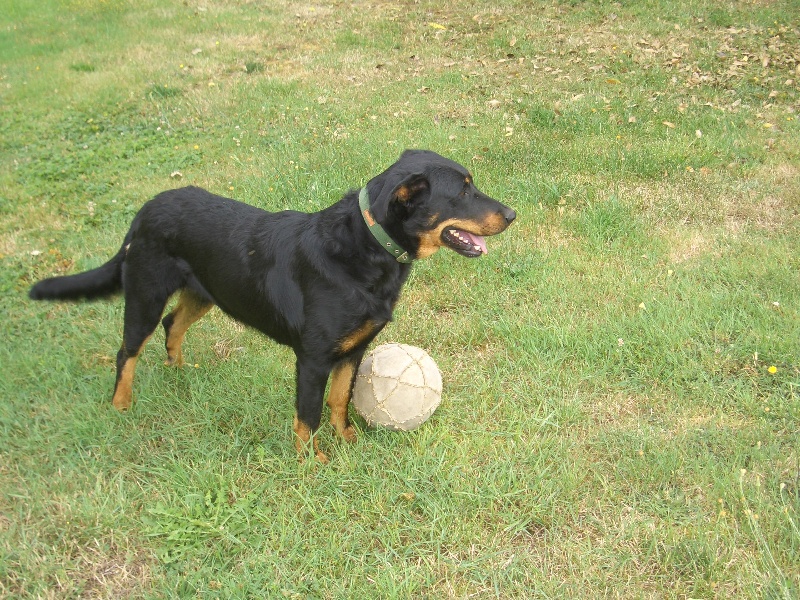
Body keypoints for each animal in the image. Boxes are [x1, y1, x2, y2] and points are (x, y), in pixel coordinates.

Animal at [28, 149, 516, 460]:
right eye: (463, 192)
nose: (513, 214)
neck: (364, 249)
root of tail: (145, 209)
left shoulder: (353, 350)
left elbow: (340, 400)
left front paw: (349, 441)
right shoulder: (313, 358)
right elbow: (308, 415)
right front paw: (311, 462)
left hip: (204, 292)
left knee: (173, 324)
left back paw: (181, 372)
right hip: (145, 294)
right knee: (127, 351)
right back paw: (121, 405)